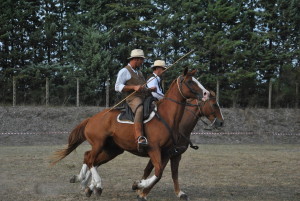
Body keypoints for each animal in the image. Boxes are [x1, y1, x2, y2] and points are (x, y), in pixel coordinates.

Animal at [51, 68, 204, 200]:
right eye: (190, 82)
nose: (205, 94)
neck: (167, 116)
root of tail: (91, 119)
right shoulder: (154, 149)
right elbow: (158, 171)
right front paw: (138, 185)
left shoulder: (168, 152)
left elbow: (162, 172)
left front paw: (141, 187)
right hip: (98, 143)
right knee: (90, 159)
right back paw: (96, 185)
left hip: (111, 149)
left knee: (89, 158)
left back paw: (85, 184)